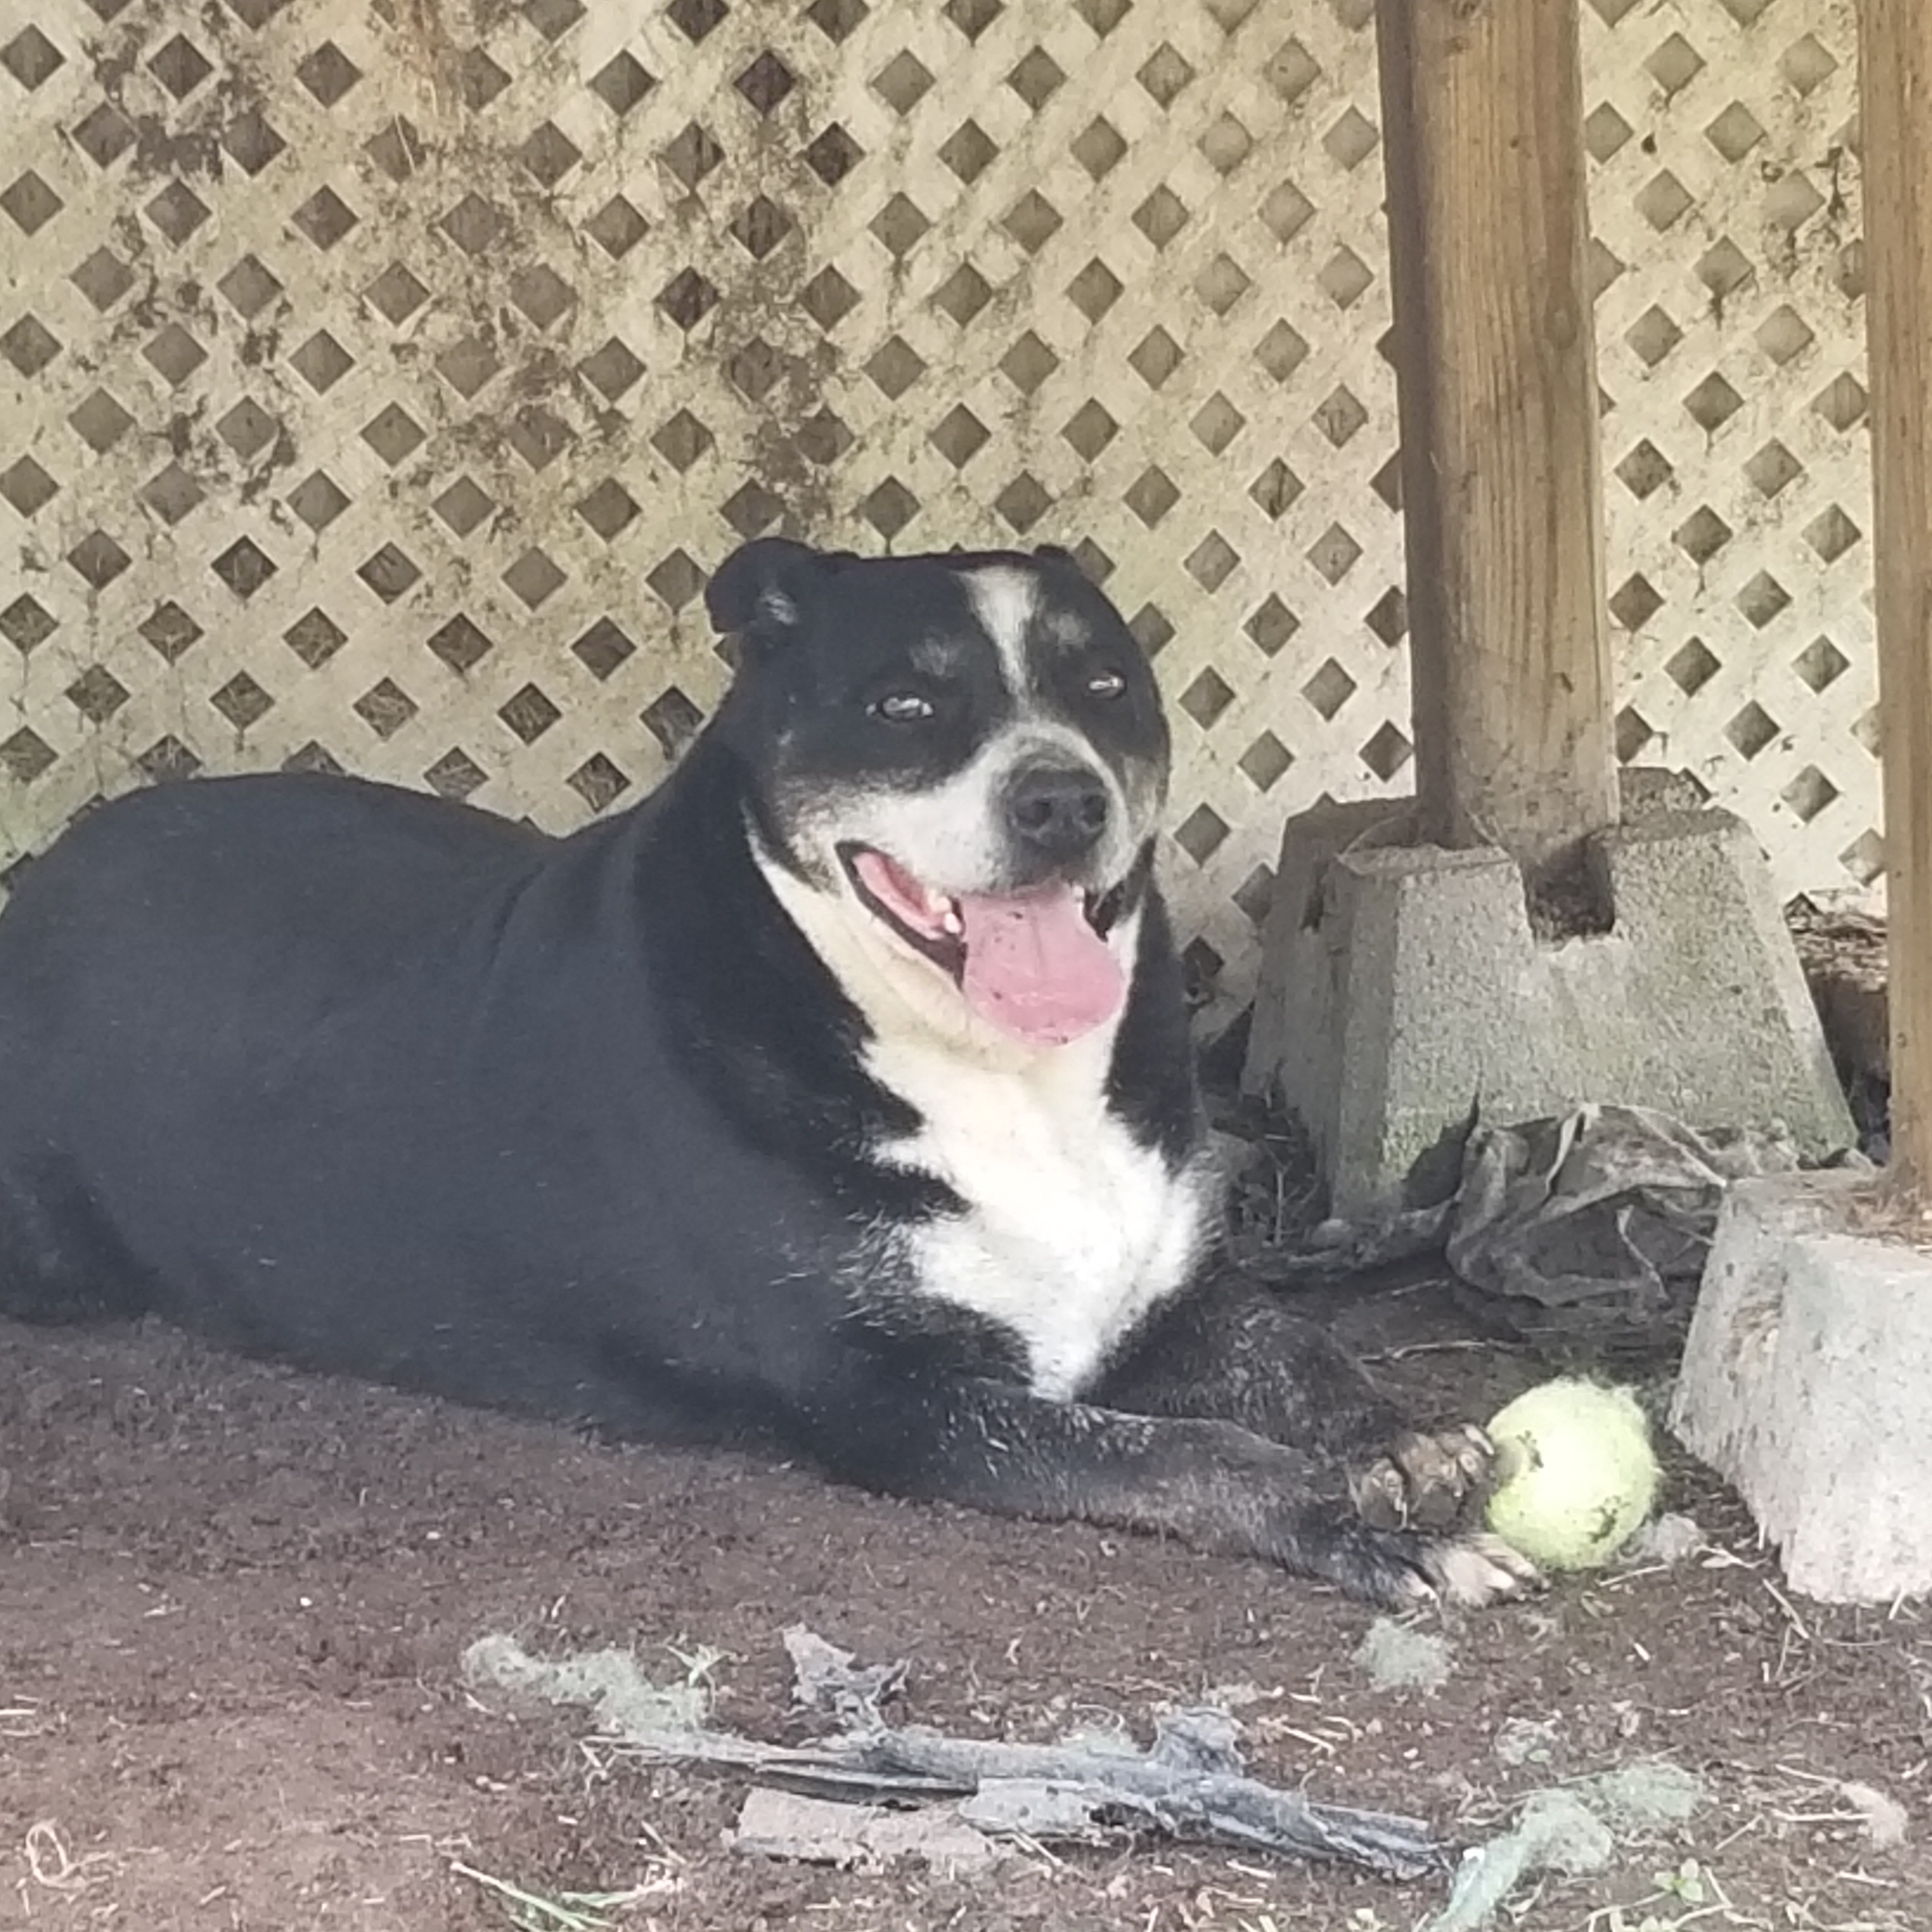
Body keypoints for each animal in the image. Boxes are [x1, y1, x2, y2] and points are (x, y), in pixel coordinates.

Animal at [0, 537, 1538, 1607]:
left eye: (1108, 687)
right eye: (906, 702)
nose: (1061, 797)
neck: (985, 1067)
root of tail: (47, 874)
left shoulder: (1161, 1294)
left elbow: (1294, 1341)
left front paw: (1401, 1440)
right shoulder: (894, 1397)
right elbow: (1185, 1452)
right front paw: (1356, 1524)